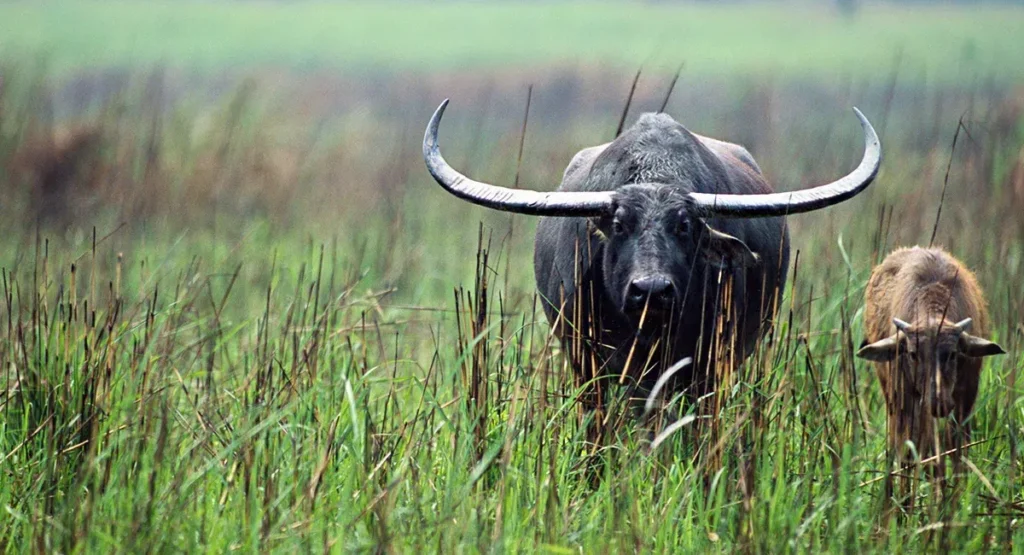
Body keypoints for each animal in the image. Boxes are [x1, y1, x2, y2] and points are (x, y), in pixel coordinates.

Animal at [857, 247, 1004, 480]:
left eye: (952, 354)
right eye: (912, 353)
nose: (939, 402)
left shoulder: (965, 397)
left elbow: (957, 445)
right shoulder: (905, 398)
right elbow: (909, 444)